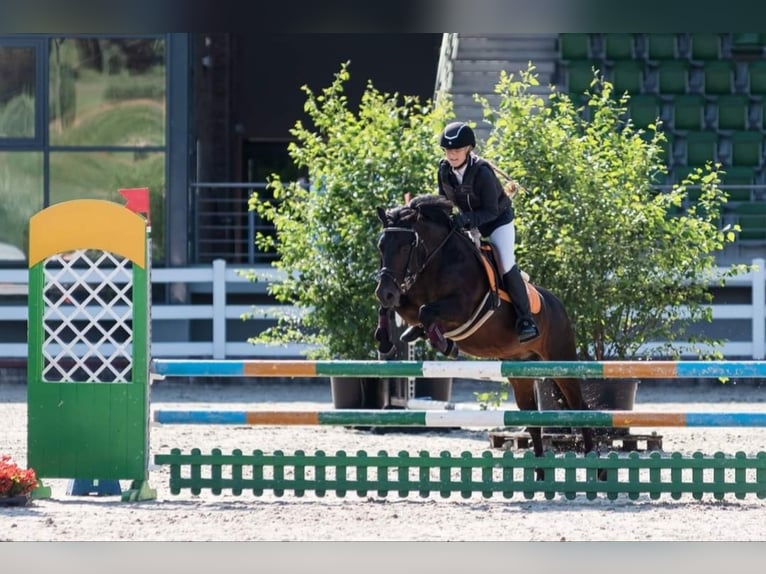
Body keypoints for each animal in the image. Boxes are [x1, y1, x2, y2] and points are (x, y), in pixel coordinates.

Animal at [376, 194, 604, 476]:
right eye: (381, 246)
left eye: (406, 247)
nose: (384, 291)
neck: (437, 260)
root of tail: (558, 305)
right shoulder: (406, 298)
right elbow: (397, 309)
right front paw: (387, 340)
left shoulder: (461, 307)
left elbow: (426, 311)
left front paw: (445, 344)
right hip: (521, 372)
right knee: (532, 420)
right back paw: (541, 475)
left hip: (561, 360)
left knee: (579, 406)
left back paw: (597, 468)